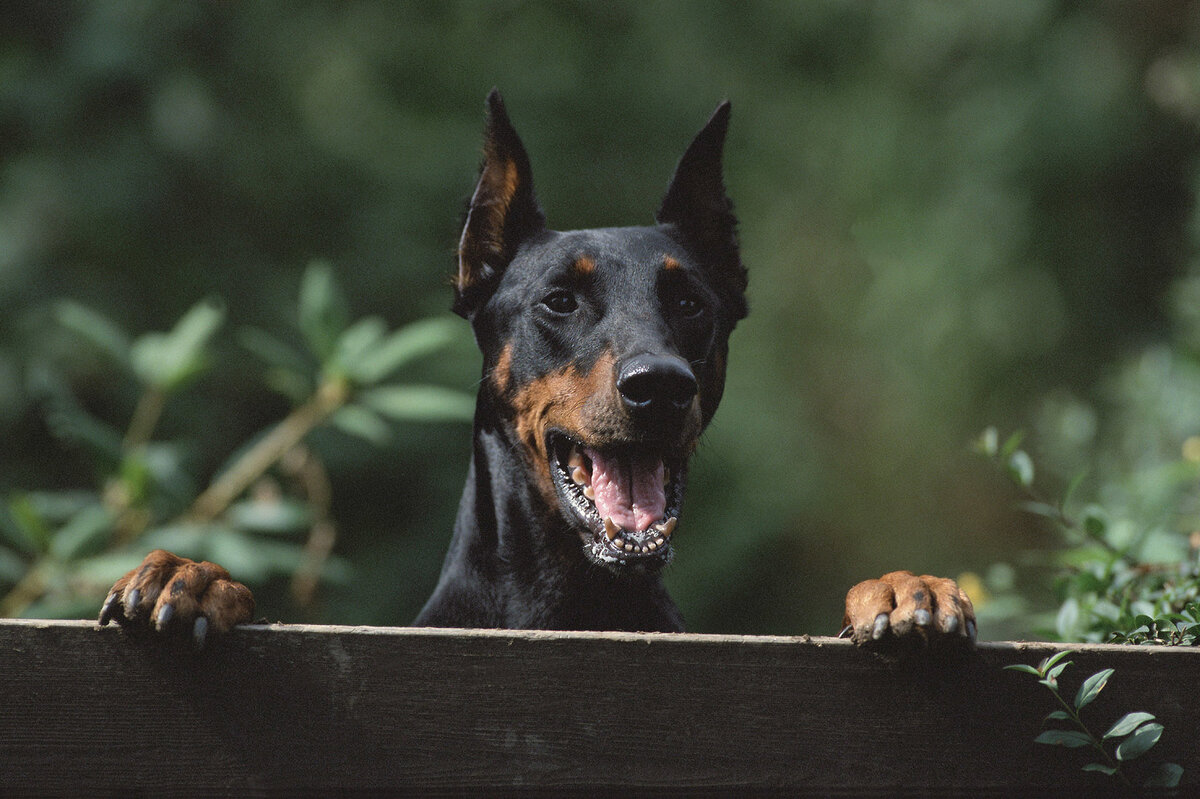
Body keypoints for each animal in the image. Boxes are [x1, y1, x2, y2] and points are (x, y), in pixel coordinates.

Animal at [96, 89, 974, 643]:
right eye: (559, 300)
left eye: (691, 302)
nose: (660, 386)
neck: (570, 603)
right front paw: (194, 578)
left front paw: (904, 588)